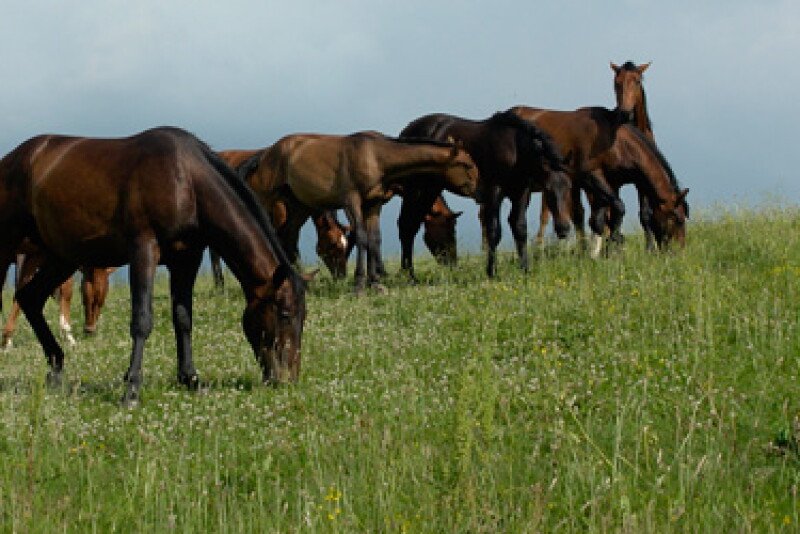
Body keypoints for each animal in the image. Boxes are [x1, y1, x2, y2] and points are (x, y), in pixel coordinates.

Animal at [0, 127, 311, 405]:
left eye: (303, 316)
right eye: (285, 314)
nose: (287, 379)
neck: (186, 180)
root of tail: (13, 159)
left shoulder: (186, 260)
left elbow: (183, 318)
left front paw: (190, 380)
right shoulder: (144, 250)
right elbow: (142, 320)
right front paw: (132, 390)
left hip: (61, 257)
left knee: (29, 297)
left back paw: (56, 368)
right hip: (12, 246)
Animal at [210, 149, 352, 285]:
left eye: (346, 246)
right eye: (334, 245)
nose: (341, 276)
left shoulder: (296, 222)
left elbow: (292, 247)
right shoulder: (279, 215)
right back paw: (220, 285)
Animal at [244, 132, 479, 291]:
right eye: (466, 165)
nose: (478, 190)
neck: (374, 156)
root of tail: (264, 155)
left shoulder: (373, 204)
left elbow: (374, 239)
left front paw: (375, 282)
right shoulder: (351, 202)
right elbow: (362, 238)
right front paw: (359, 284)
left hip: (299, 206)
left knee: (288, 237)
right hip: (267, 201)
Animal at [398, 110, 576, 279]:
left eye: (569, 188)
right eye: (548, 189)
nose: (564, 228)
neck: (515, 150)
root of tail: (405, 131)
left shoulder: (521, 193)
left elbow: (519, 228)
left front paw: (525, 269)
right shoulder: (493, 192)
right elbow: (494, 231)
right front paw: (492, 271)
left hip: (431, 189)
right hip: (417, 190)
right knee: (407, 225)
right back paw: (409, 275)